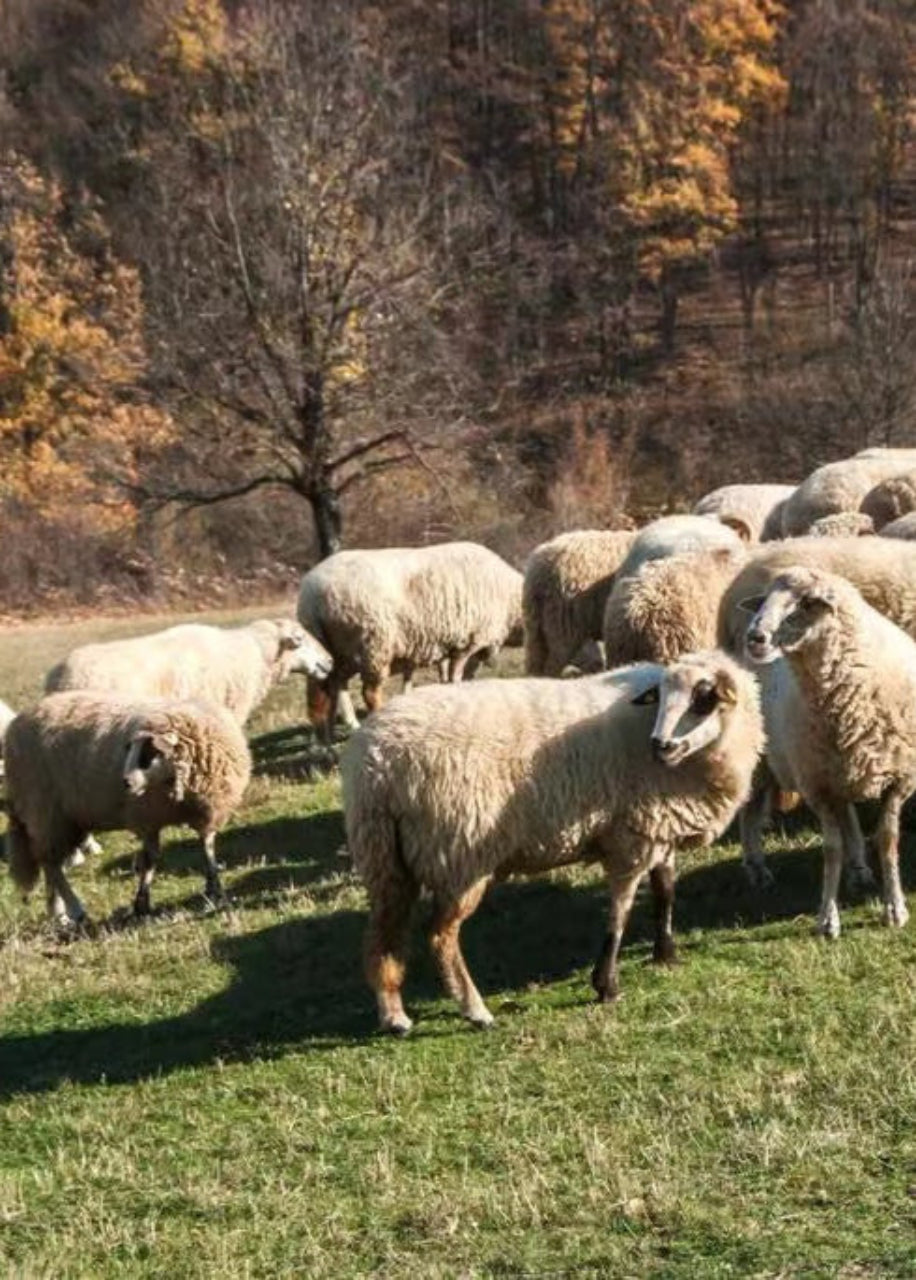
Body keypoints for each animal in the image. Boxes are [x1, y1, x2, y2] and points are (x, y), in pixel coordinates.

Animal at [4, 692, 252, 925]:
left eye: (150, 753)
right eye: (129, 751)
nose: (125, 782)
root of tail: (17, 723)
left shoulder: (208, 813)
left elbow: (207, 847)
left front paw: (214, 888)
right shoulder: (147, 817)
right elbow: (150, 859)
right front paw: (141, 903)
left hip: (66, 819)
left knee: (50, 863)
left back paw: (57, 912)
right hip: (44, 809)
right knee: (50, 862)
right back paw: (74, 908)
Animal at [298, 542, 524, 734]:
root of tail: (310, 600)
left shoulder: (464, 645)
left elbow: (459, 676)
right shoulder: (465, 644)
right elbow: (456, 677)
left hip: (339, 652)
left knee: (334, 687)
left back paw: (345, 726)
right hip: (371, 645)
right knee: (368, 692)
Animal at [342, 652, 764, 1034]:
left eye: (703, 698)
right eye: (660, 696)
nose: (661, 744)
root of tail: (377, 765)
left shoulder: (658, 830)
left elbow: (665, 893)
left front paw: (666, 956)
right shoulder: (630, 838)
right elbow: (621, 912)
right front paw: (606, 986)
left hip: (383, 856)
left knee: (380, 937)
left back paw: (394, 1015)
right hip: (460, 854)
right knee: (440, 936)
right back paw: (475, 1011)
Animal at [743, 567, 916, 937]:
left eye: (808, 602)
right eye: (763, 600)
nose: (755, 638)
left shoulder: (899, 778)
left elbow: (887, 840)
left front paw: (895, 908)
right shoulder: (816, 786)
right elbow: (831, 849)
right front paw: (827, 918)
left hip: (840, 770)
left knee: (847, 815)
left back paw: (859, 871)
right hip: (763, 766)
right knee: (748, 814)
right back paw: (755, 867)